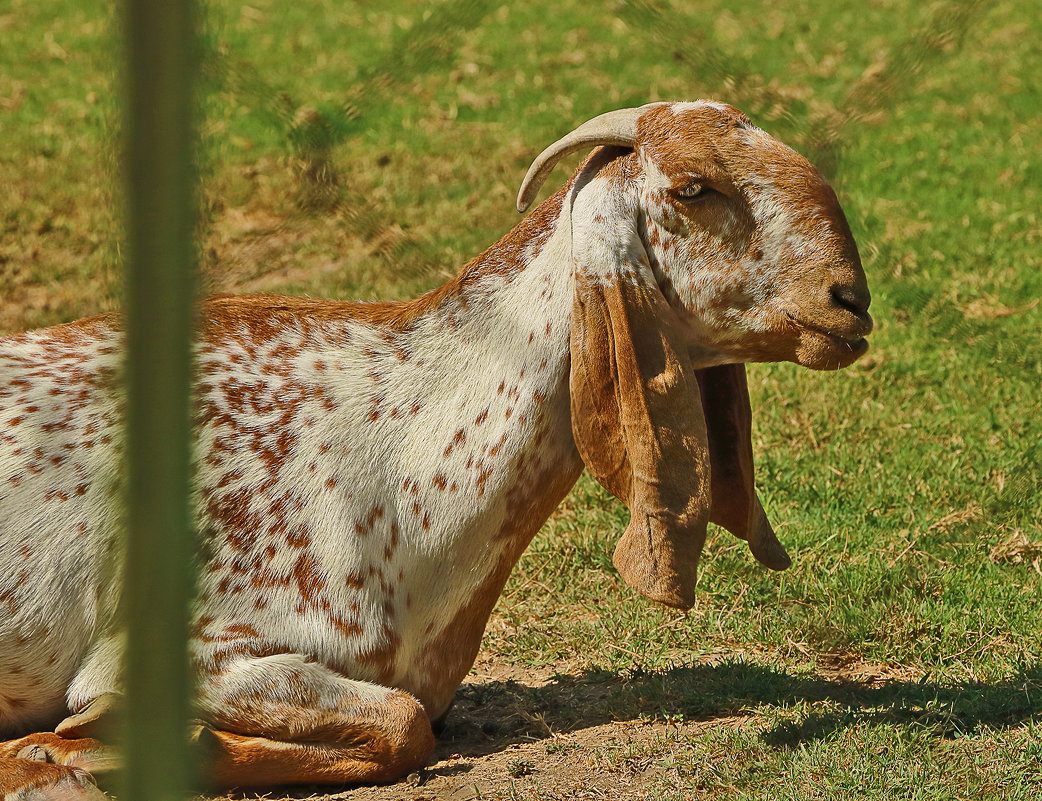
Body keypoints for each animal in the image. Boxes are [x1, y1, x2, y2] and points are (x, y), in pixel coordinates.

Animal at [0, 101, 871, 791]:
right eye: (694, 186)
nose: (850, 299)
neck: (400, 455)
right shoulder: (200, 643)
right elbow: (403, 721)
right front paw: (70, 750)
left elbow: (408, 723)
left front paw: (68, 751)